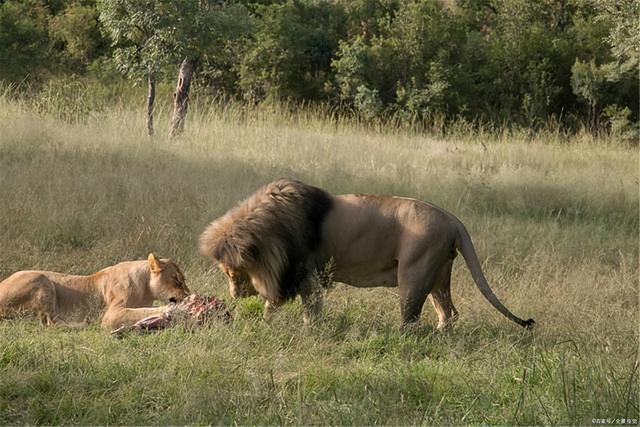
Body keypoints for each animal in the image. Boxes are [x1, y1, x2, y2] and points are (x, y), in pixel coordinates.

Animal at [0, 254, 190, 332]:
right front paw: (170, 309)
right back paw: (83, 324)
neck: (147, 291)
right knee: (49, 323)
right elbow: (140, 311)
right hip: (41, 280)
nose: (188, 295)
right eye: (177, 280)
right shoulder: (112, 314)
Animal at [200, 179, 536, 330]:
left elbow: (307, 307)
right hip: (439, 275)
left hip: (414, 273)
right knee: (448, 312)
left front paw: (308, 329)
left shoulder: (304, 273)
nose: (233, 295)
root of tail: (454, 219)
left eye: (232, 273)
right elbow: (274, 305)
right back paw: (444, 336)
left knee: (411, 318)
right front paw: (267, 324)